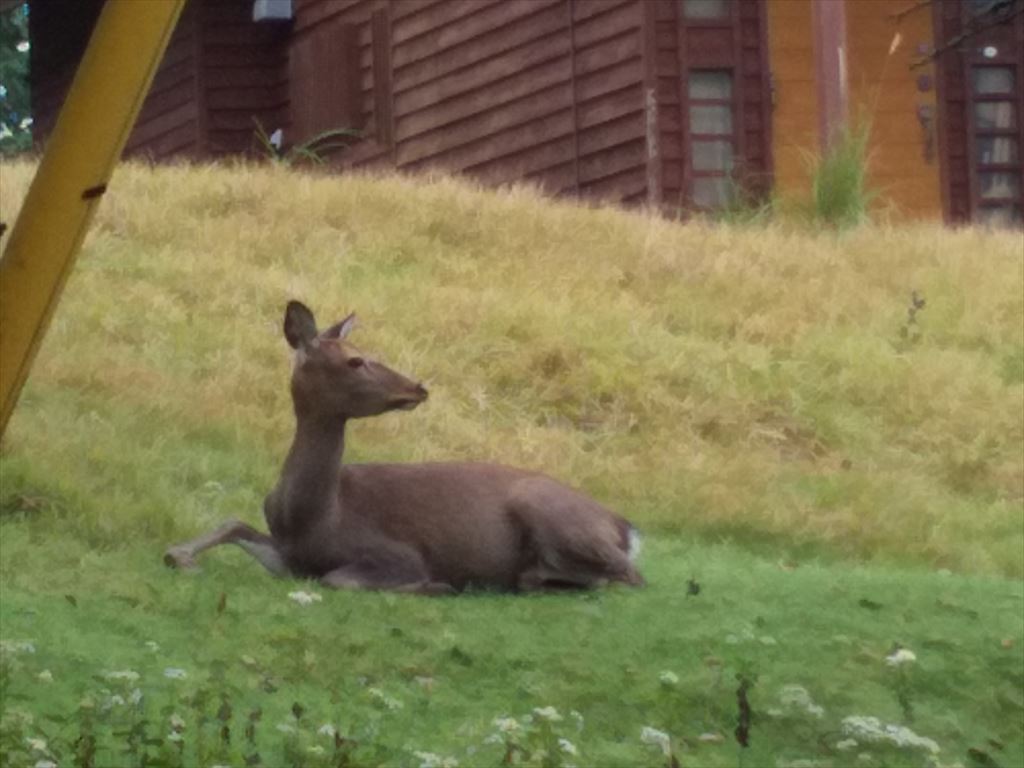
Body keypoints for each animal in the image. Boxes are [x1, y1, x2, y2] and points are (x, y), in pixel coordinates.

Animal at [163, 301, 643, 593]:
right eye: (356, 360)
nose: (418, 386)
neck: (316, 517)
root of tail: (625, 526)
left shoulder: (398, 552)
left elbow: (338, 579)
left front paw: (437, 585)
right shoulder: (287, 556)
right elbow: (234, 524)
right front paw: (182, 557)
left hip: (551, 511)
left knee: (630, 575)